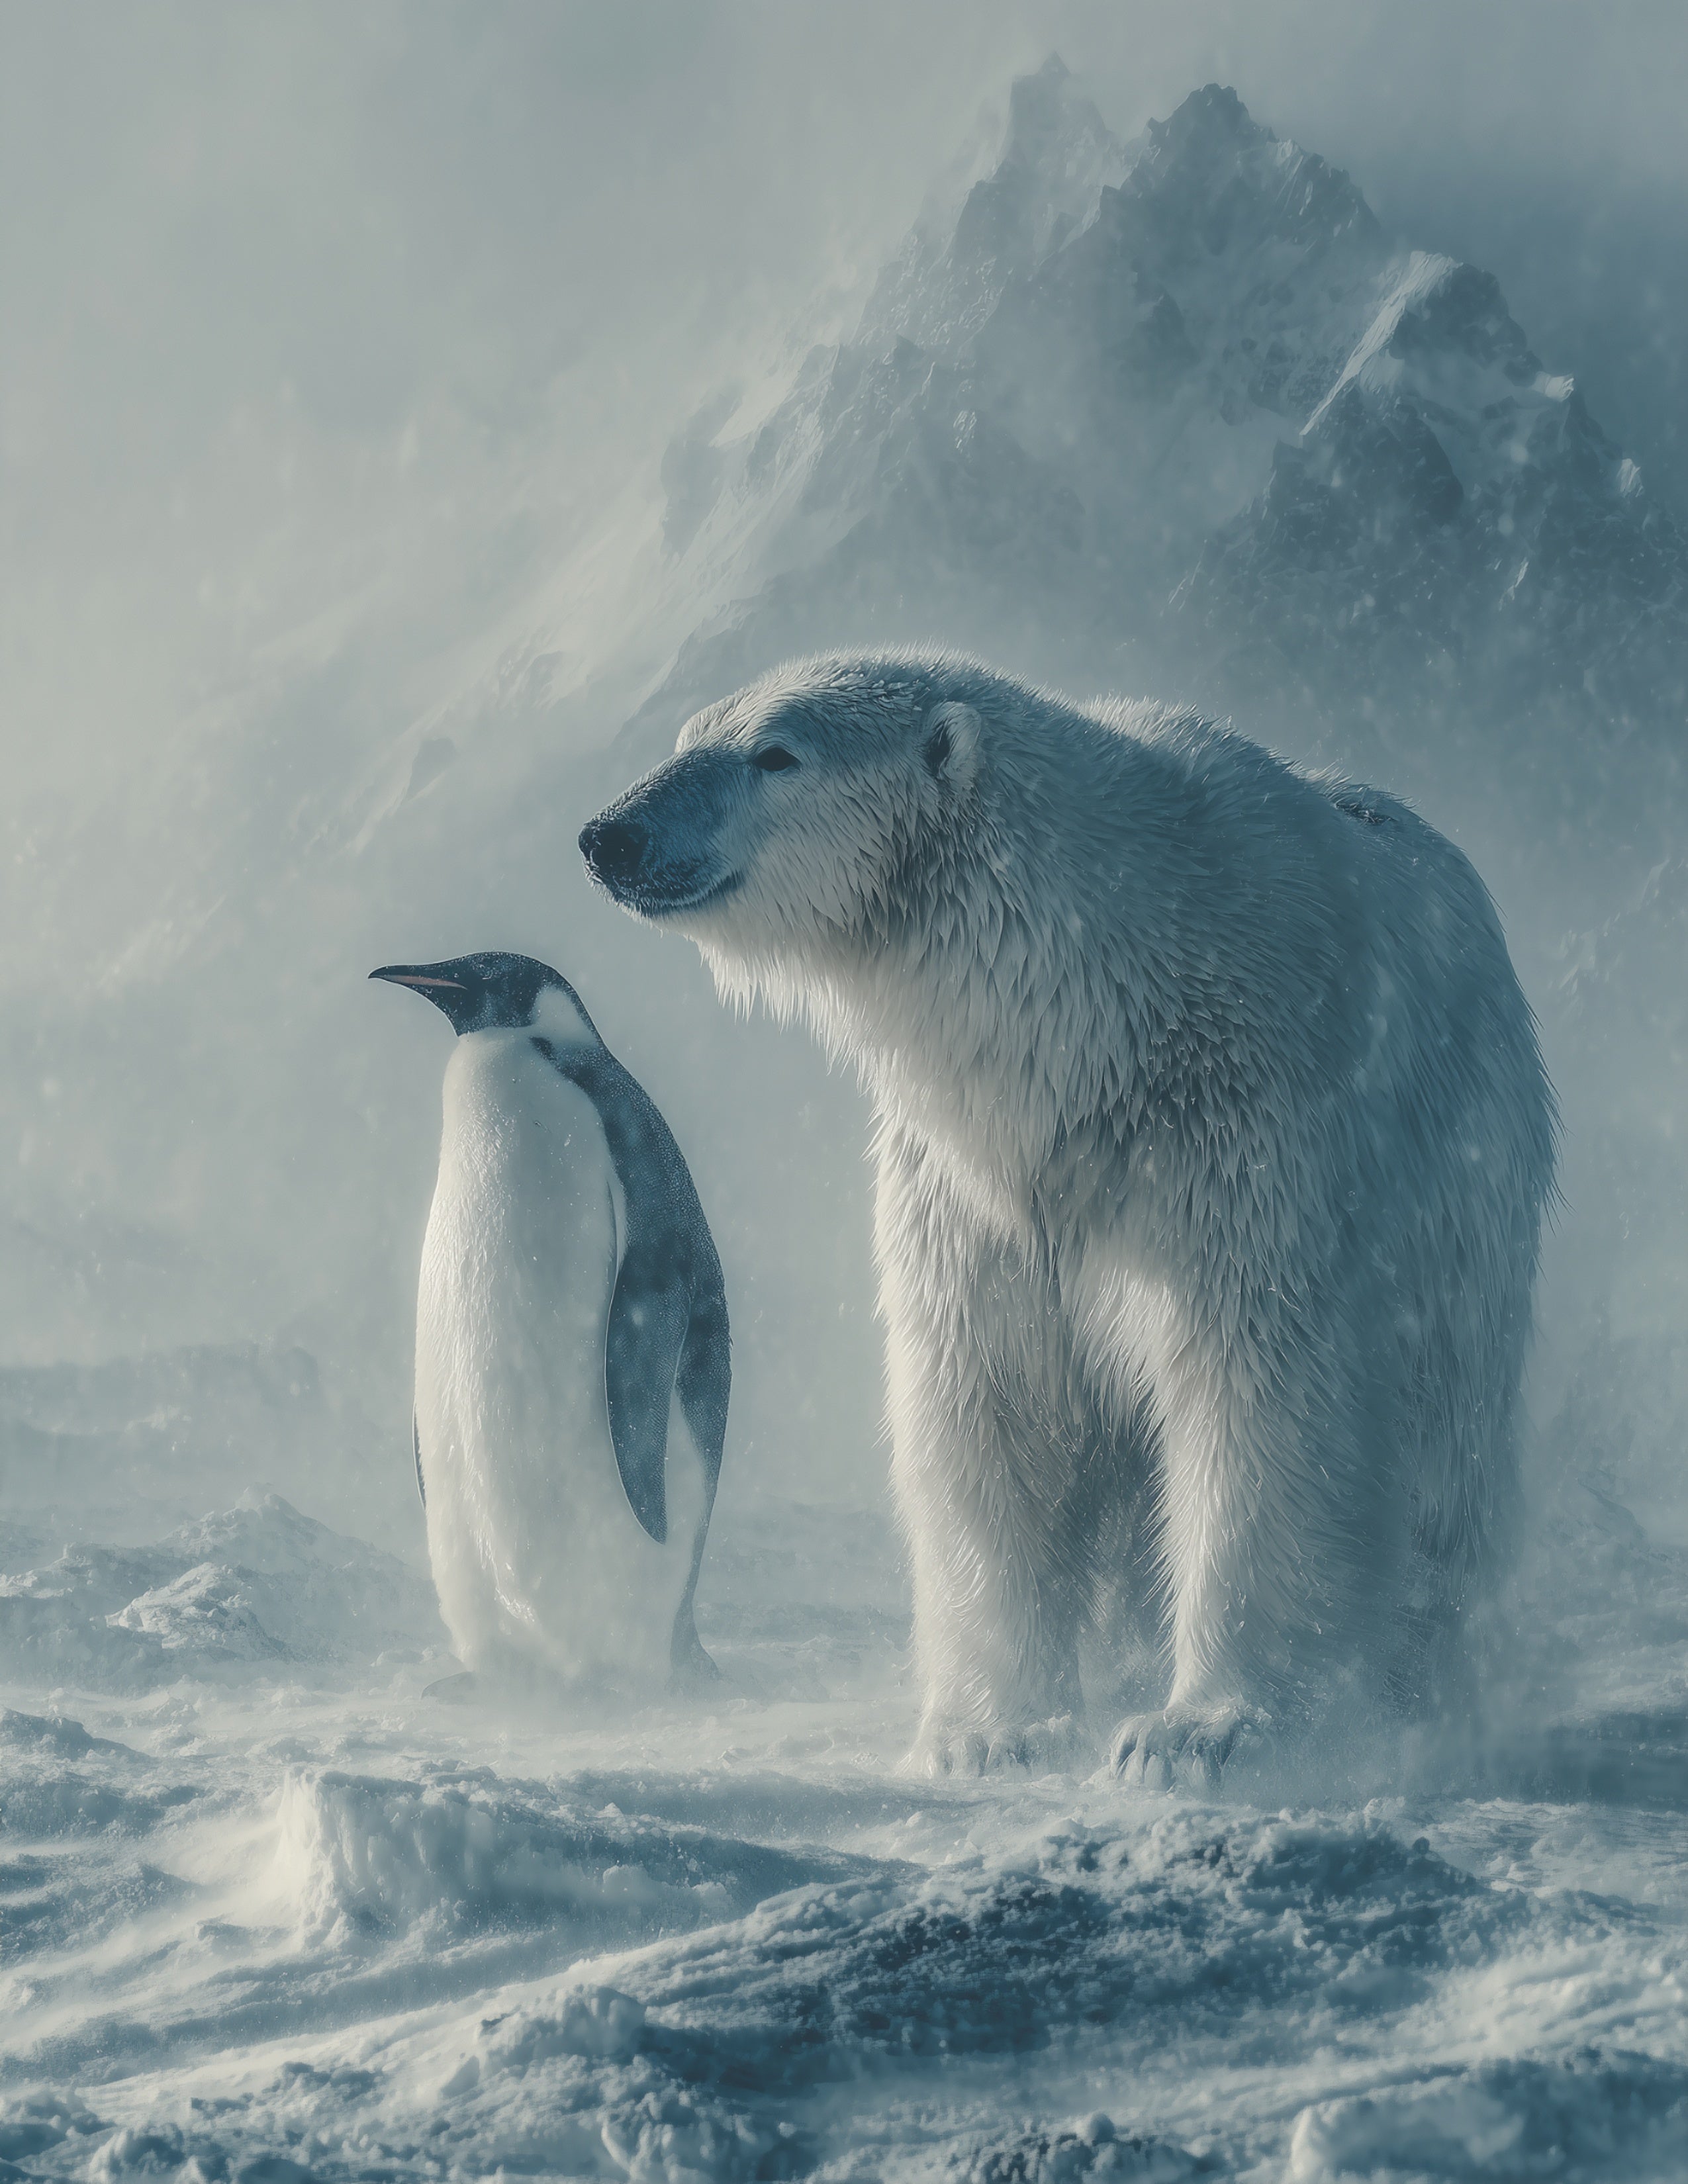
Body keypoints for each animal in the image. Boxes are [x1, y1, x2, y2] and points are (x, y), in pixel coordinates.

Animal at [580, 651, 1557, 1779]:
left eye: (773, 753)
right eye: (688, 735)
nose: (609, 835)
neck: (1099, 1022)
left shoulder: (1245, 1134)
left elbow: (1260, 1389)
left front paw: (1198, 1731)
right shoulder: (975, 1193)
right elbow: (996, 1400)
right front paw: (989, 1733)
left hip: (1467, 1199)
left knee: (1450, 1446)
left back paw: (1421, 1688)